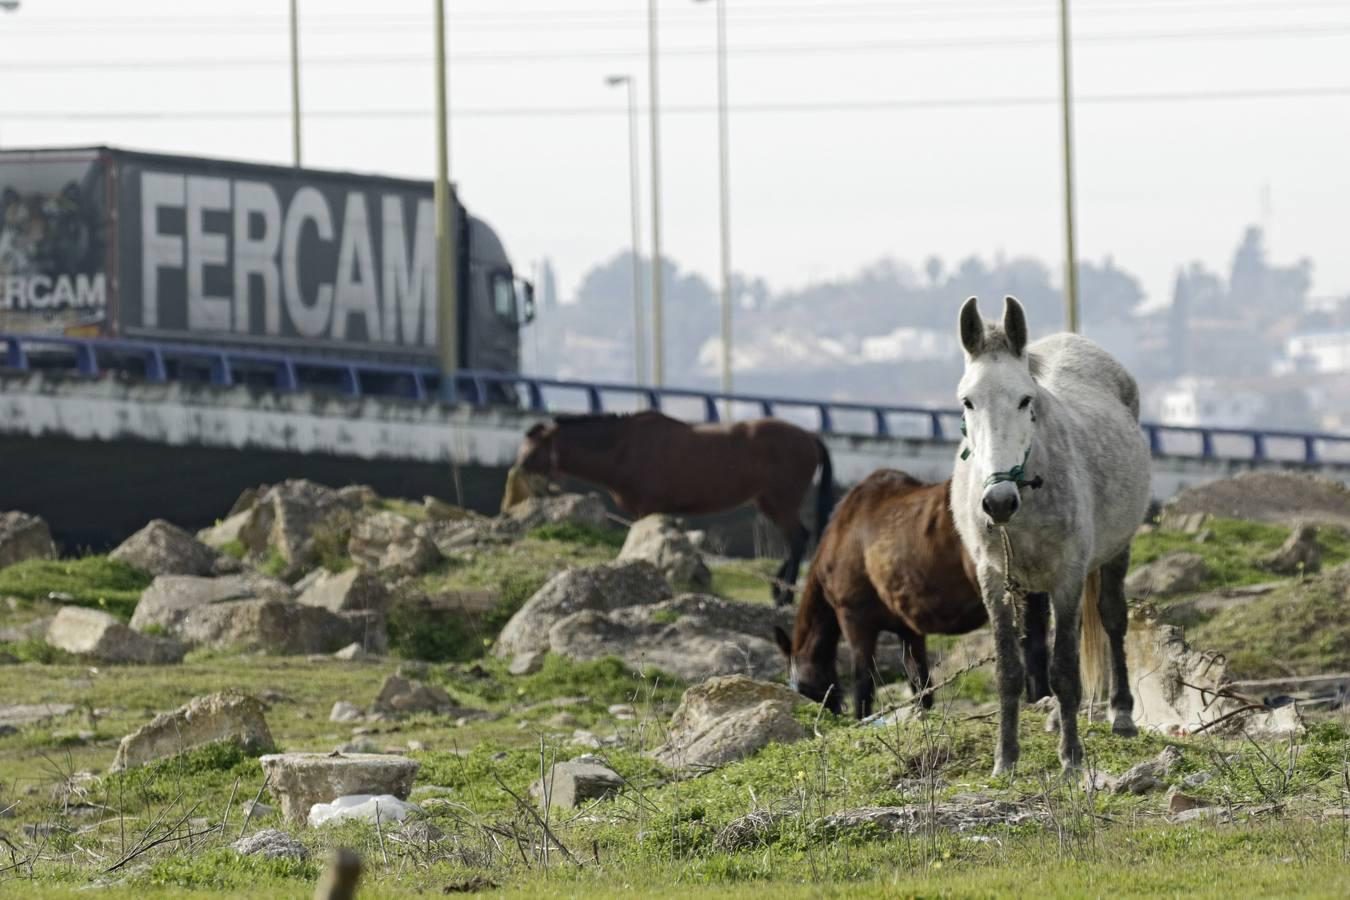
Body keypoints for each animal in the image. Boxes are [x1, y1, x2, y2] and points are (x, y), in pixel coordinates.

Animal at [510, 407, 831, 604]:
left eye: (533, 450)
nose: (519, 470)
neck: (624, 449)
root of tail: (809, 437)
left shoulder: (648, 508)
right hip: (768, 501)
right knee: (797, 539)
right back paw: (778, 589)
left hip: (780, 500)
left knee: (797, 538)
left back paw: (784, 596)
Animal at [772, 472, 1053, 717]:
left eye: (801, 687)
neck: (843, 534)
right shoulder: (909, 630)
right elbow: (920, 682)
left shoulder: (855, 619)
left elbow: (863, 680)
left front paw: (861, 718)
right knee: (1037, 645)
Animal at [950, 296, 1150, 777]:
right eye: (968, 401)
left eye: (1026, 399)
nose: (997, 502)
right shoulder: (994, 580)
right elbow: (1010, 669)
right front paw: (1005, 759)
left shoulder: (1069, 574)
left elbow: (1064, 670)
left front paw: (1072, 759)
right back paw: (1058, 718)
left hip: (1115, 552)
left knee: (1112, 619)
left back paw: (1121, 713)